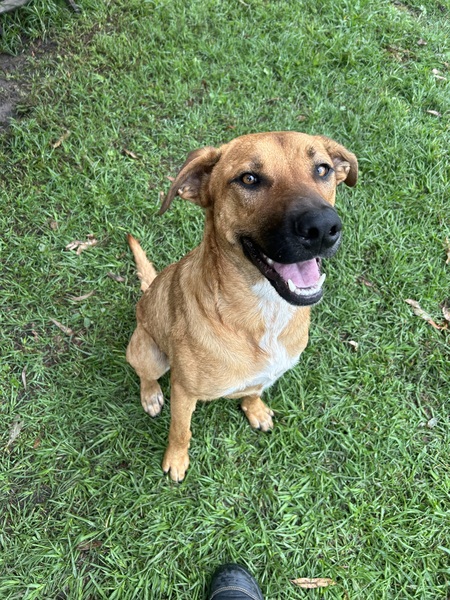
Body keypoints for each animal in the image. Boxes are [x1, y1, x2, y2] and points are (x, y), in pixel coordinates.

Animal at [126, 131, 357, 482]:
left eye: (322, 169)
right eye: (248, 179)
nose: (322, 228)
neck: (265, 314)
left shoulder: (266, 375)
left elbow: (254, 391)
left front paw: (255, 410)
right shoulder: (183, 390)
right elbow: (181, 431)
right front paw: (176, 460)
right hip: (148, 353)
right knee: (145, 375)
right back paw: (151, 394)